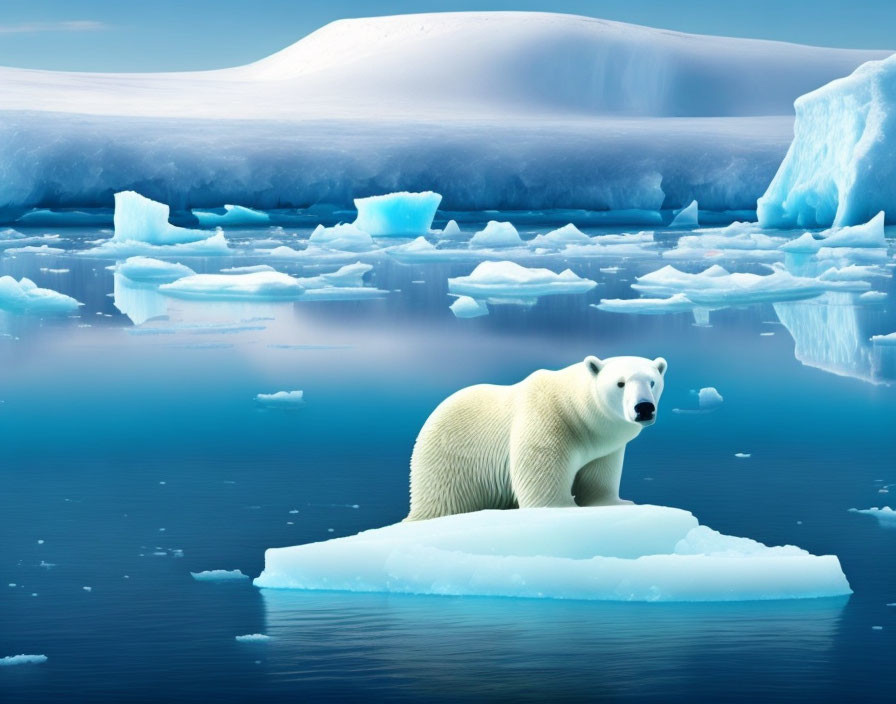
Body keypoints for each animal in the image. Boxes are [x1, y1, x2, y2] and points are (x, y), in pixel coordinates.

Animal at [406, 354, 664, 520]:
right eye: (620, 383)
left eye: (652, 382)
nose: (644, 408)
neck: (577, 413)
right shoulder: (547, 420)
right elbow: (541, 473)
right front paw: (563, 506)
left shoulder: (603, 447)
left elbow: (598, 477)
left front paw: (617, 503)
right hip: (450, 463)